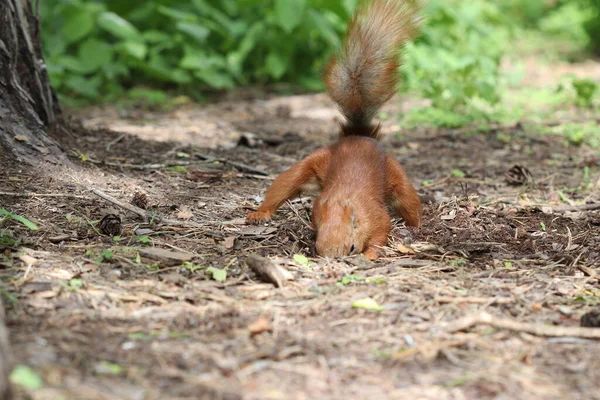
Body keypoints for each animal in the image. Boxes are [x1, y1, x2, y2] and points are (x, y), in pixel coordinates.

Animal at [246, 0, 424, 260]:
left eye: (351, 247)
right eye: (318, 247)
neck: (342, 201)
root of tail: (358, 136)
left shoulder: (377, 216)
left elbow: (381, 233)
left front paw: (369, 255)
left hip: (396, 176)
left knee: (409, 203)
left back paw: (416, 226)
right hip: (313, 163)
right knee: (283, 186)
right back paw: (260, 213)